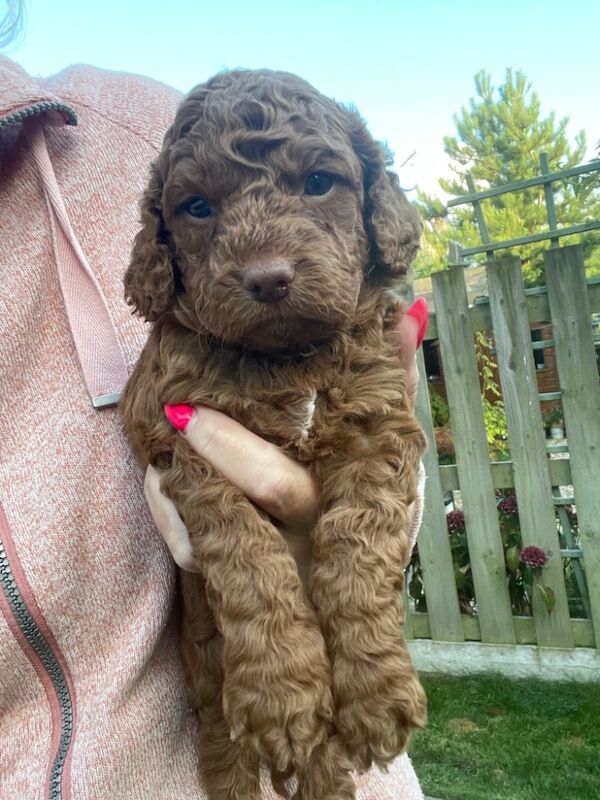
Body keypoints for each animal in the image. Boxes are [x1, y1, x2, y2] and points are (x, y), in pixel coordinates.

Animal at [120, 70, 426, 800]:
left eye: (319, 182)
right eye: (197, 207)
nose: (266, 278)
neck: (286, 357)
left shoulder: (378, 426)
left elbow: (359, 541)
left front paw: (376, 692)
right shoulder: (187, 441)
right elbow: (250, 558)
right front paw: (283, 697)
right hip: (205, 673)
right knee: (220, 736)